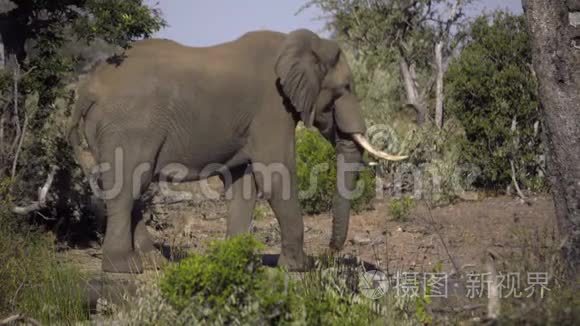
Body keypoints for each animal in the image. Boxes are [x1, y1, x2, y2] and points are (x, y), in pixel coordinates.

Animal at [68, 28, 406, 274]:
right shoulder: (272, 107)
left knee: (133, 187)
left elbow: (243, 185)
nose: (330, 252)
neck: (297, 44)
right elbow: (275, 175)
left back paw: (153, 264)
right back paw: (124, 268)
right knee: (126, 187)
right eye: (345, 88)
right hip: (129, 125)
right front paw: (300, 267)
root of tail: (87, 88)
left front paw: (238, 261)